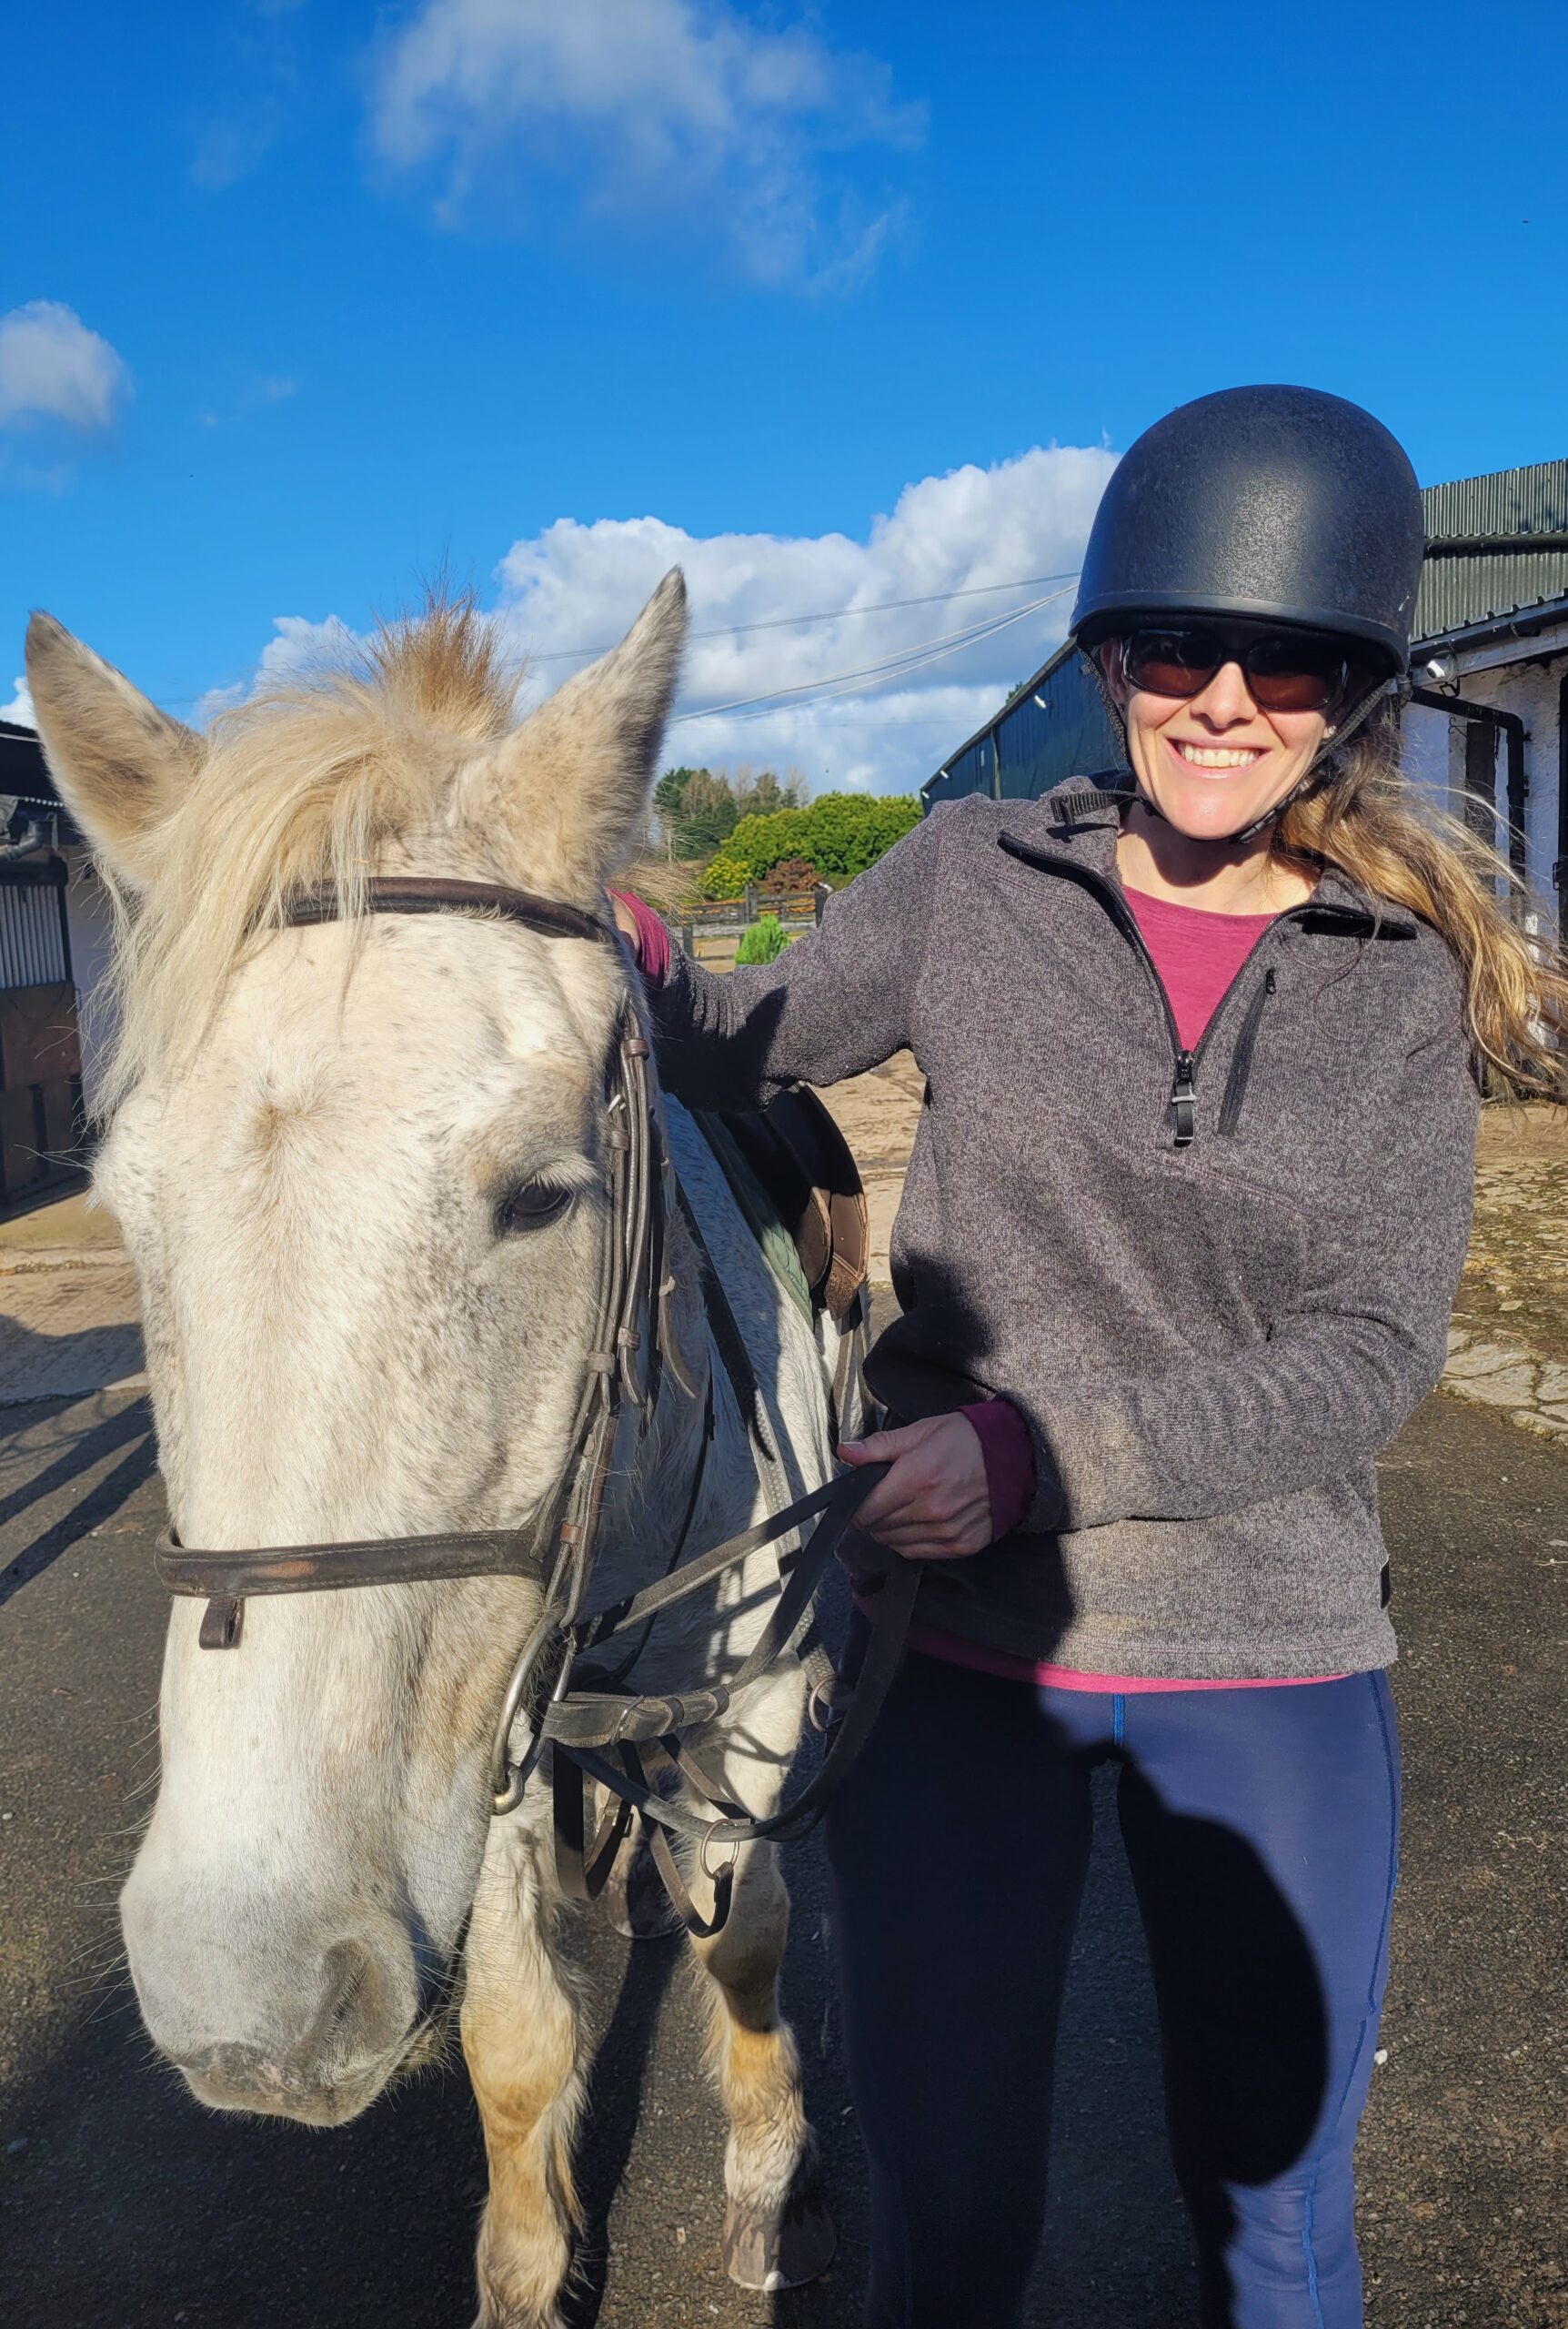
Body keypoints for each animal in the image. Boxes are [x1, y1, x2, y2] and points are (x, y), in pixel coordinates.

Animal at [24, 577, 857, 2329]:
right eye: (128, 1213)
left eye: (542, 1196)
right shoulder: (491, 1733)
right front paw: (528, 2269)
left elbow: (748, 1935)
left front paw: (765, 2179)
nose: (248, 1996)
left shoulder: (758, 1704)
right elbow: (513, 2032)